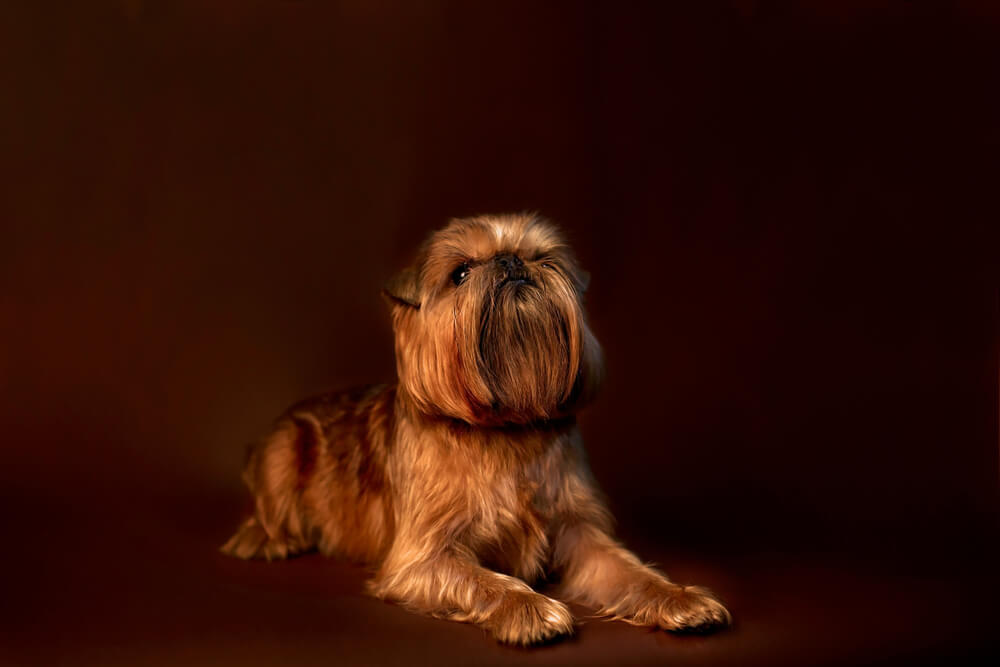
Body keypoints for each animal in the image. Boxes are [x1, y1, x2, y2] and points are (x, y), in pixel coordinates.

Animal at [223, 215, 732, 648]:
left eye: (541, 257)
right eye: (461, 273)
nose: (511, 261)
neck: (506, 427)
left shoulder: (579, 534)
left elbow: (629, 571)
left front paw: (680, 597)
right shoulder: (423, 559)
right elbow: (482, 580)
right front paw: (530, 607)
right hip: (284, 448)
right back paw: (267, 539)